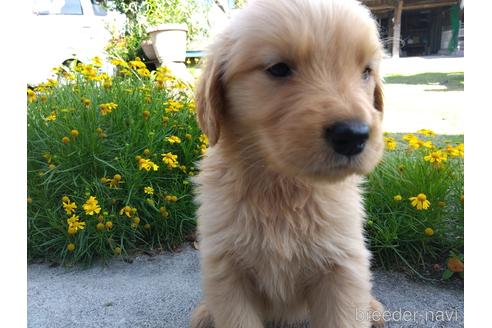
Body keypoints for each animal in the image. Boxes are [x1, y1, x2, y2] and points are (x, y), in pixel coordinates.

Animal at [190, 0, 386, 328]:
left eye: (366, 72)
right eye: (279, 68)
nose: (353, 135)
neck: (283, 189)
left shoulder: (342, 268)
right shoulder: (226, 270)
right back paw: (205, 313)